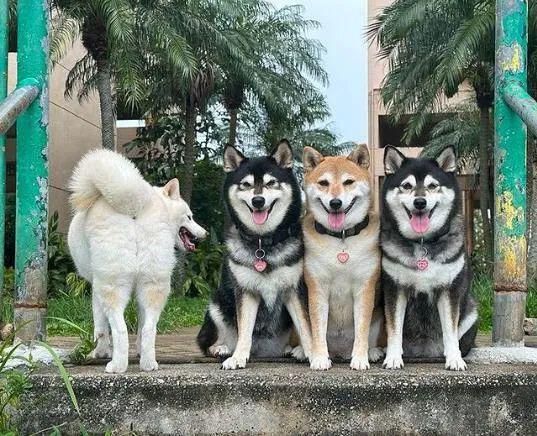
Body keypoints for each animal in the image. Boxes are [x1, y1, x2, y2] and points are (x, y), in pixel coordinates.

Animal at [67, 149, 207, 373]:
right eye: (189, 217)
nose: (205, 233)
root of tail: (134, 208)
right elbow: (141, 326)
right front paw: (139, 351)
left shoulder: (96, 288)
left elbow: (100, 327)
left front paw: (100, 352)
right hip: (154, 285)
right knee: (150, 328)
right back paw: (148, 364)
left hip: (112, 286)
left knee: (120, 329)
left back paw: (117, 365)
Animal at [197, 140, 312, 369]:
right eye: (246, 184)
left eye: (271, 183)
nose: (258, 200)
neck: (263, 243)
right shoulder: (246, 291)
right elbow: (245, 330)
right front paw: (238, 357)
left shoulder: (294, 290)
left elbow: (305, 327)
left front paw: (314, 353)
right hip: (217, 304)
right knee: (207, 342)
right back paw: (221, 348)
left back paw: (295, 350)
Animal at [302, 144, 384, 371]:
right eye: (324, 183)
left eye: (348, 182)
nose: (336, 203)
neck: (341, 238)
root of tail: (340, 352)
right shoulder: (317, 288)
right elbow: (318, 329)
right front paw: (320, 358)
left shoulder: (365, 288)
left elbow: (362, 329)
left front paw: (360, 359)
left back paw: (372, 352)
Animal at [381, 145, 477, 371]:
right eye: (406, 186)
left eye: (433, 185)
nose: (420, 202)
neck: (422, 242)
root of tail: (424, 353)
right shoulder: (395, 288)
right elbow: (394, 329)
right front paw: (393, 358)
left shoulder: (449, 290)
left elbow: (450, 330)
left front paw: (454, 359)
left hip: (471, 310)